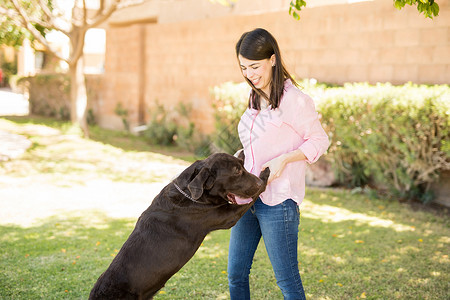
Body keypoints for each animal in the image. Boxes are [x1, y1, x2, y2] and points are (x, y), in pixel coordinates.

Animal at [89, 154, 268, 298]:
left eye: (242, 166)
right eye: (236, 171)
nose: (258, 182)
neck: (190, 194)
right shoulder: (227, 216)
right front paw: (265, 176)